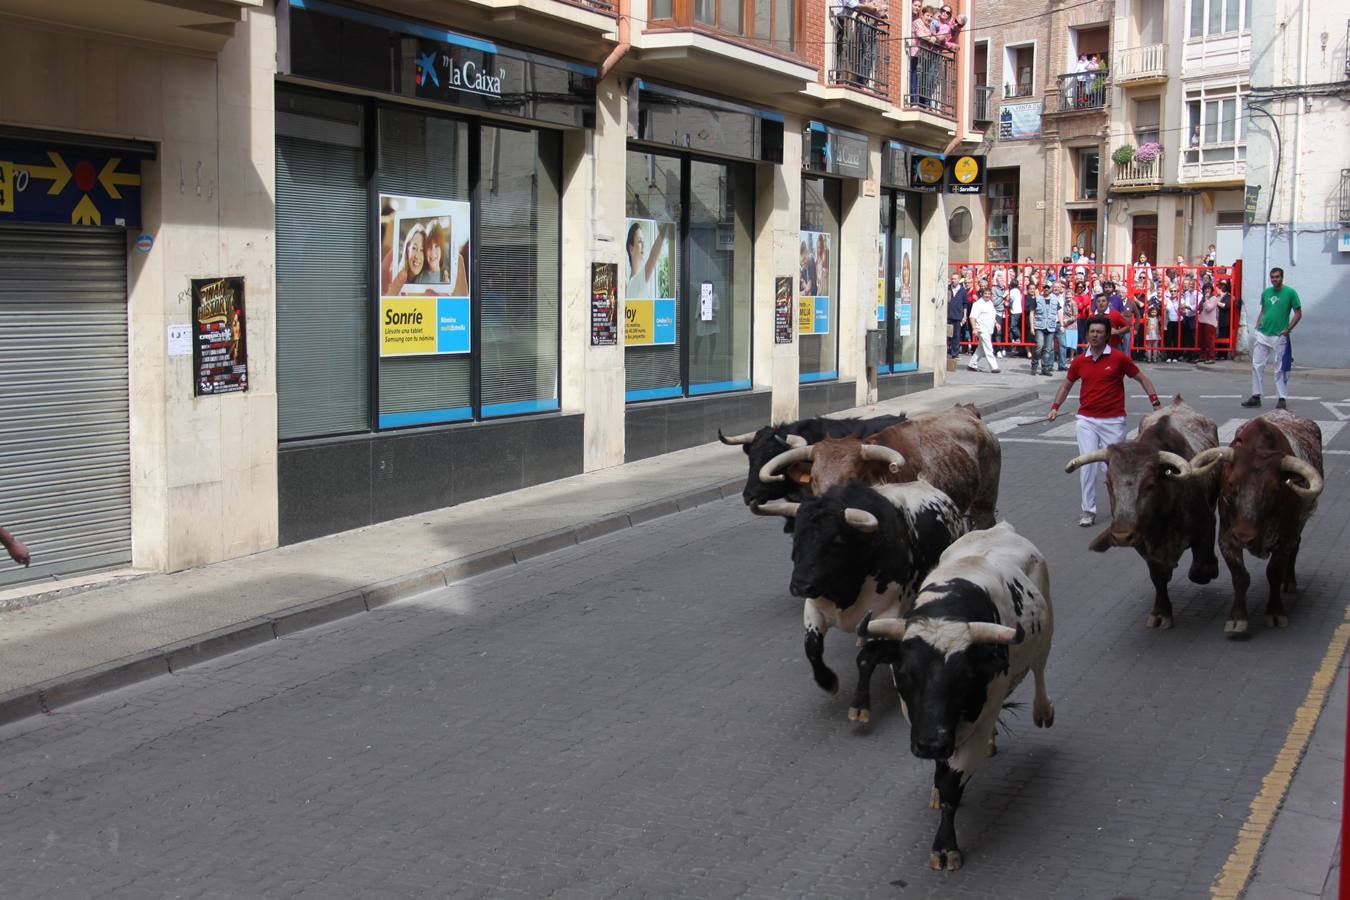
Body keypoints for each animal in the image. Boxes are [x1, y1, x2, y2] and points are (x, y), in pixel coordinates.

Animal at [761, 477, 972, 723]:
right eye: (796, 537)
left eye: (837, 539)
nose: (800, 585)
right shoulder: (814, 606)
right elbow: (812, 647)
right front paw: (828, 681)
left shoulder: (884, 612)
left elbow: (866, 658)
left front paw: (860, 705)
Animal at [853, 523, 1053, 868]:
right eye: (904, 673)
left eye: (965, 678)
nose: (931, 743)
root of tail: (999, 528)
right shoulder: (920, 721)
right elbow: (942, 769)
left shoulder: (972, 726)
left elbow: (952, 785)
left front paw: (945, 847)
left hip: (1045, 633)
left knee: (1039, 670)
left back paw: (1042, 712)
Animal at [1063, 396, 1225, 631]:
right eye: (1109, 483)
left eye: (1150, 485)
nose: (1121, 535)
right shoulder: (1144, 544)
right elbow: (1158, 576)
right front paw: (1161, 612)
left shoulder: (1206, 522)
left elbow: (1200, 569)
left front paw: (1209, 568)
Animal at [1188, 412, 1323, 636]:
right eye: (1231, 483)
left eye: (1274, 489)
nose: (1244, 537)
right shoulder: (1227, 538)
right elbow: (1240, 576)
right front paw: (1237, 618)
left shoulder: (1284, 538)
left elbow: (1274, 572)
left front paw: (1275, 612)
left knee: (1295, 548)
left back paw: (1290, 581)